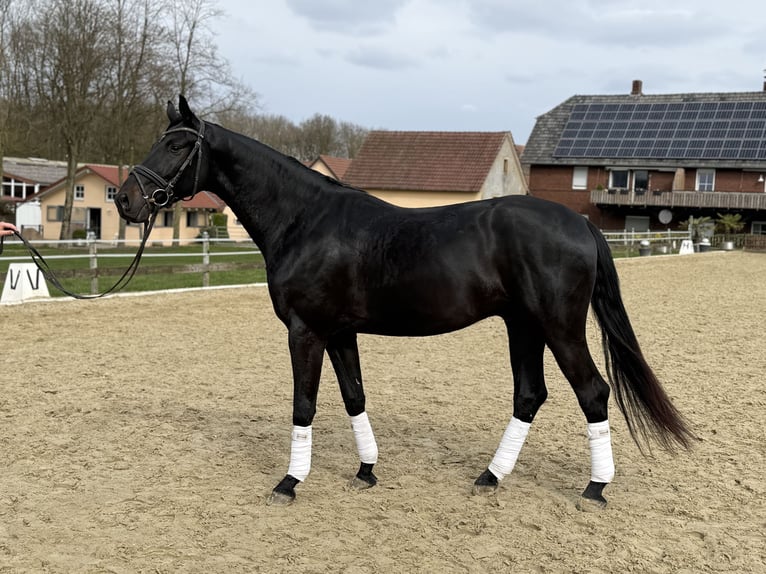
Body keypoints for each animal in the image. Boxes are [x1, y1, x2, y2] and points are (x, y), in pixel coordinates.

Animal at [115, 96, 695, 508]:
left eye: (177, 146)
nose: (126, 199)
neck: (306, 220)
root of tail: (579, 222)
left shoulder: (305, 330)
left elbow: (304, 403)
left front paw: (289, 482)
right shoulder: (339, 332)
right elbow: (354, 396)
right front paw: (366, 471)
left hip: (559, 328)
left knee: (592, 393)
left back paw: (595, 489)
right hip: (523, 327)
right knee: (530, 395)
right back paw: (491, 476)